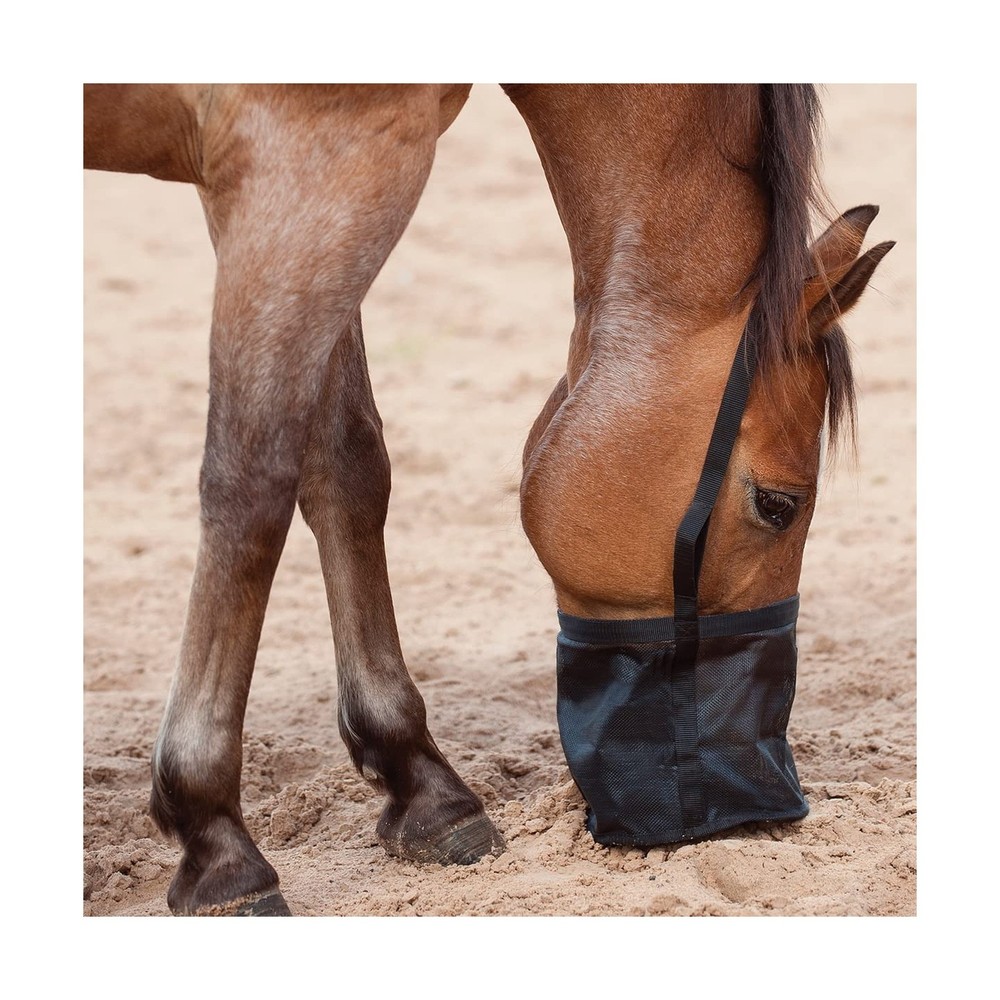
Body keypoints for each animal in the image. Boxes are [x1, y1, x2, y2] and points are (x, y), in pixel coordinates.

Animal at [83, 83, 892, 915]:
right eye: (777, 506)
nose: (760, 803)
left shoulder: (315, 180)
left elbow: (346, 461)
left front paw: (421, 782)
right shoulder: (312, 161)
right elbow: (252, 489)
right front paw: (214, 834)